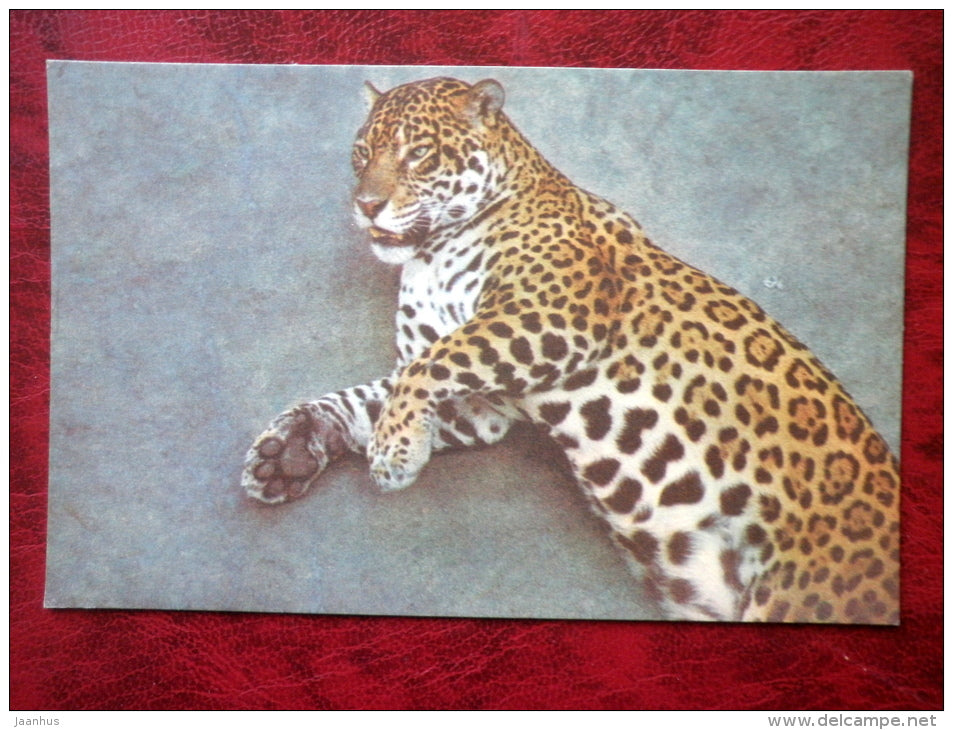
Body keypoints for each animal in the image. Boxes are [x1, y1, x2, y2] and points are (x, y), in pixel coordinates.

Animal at [242, 77, 900, 624]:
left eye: (419, 154)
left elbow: (429, 366)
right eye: (362, 153)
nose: (366, 205)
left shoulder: (551, 318)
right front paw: (289, 451)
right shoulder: (485, 406)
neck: (430, 252)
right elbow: (371, 396)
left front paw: (396, 453)